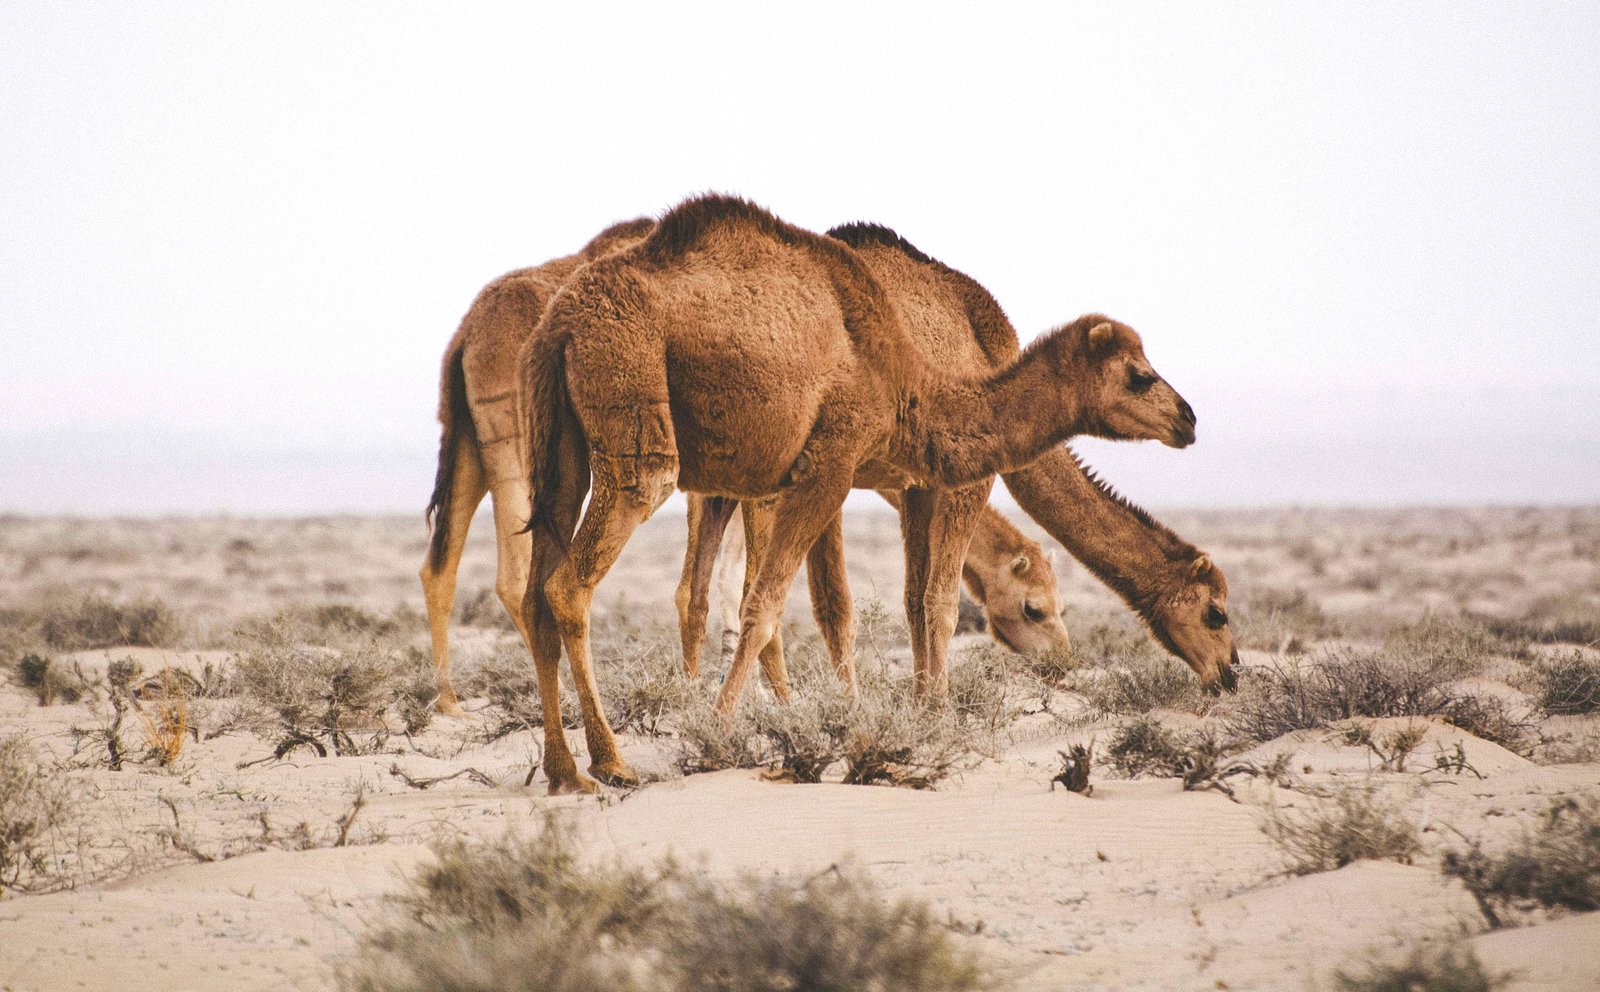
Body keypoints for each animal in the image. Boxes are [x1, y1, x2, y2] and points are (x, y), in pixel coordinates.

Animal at [518, 193, 1196, 793]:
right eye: (1139, 376)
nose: (1187, 419)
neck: (906, 379)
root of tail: (561, 320)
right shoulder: (830, 464)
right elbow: (769, 608)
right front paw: (718, 733)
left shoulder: (842, 476)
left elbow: (832, 604)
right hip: (631, 391)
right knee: (572, 583)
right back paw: (611, 763)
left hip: (559, 443)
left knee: (534, 593)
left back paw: (563, 771)